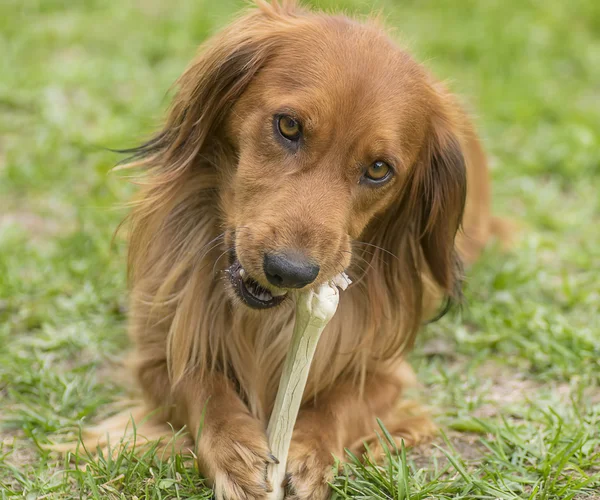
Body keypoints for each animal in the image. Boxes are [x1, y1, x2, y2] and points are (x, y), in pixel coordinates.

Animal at [90, 0, 510, 500]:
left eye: (379, 169)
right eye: (288, 125)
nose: (289, 271)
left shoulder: (385, 369)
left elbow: (342, 399)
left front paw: (312, 451)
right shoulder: (155, 350)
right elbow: (198, 381)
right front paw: (235, 451)